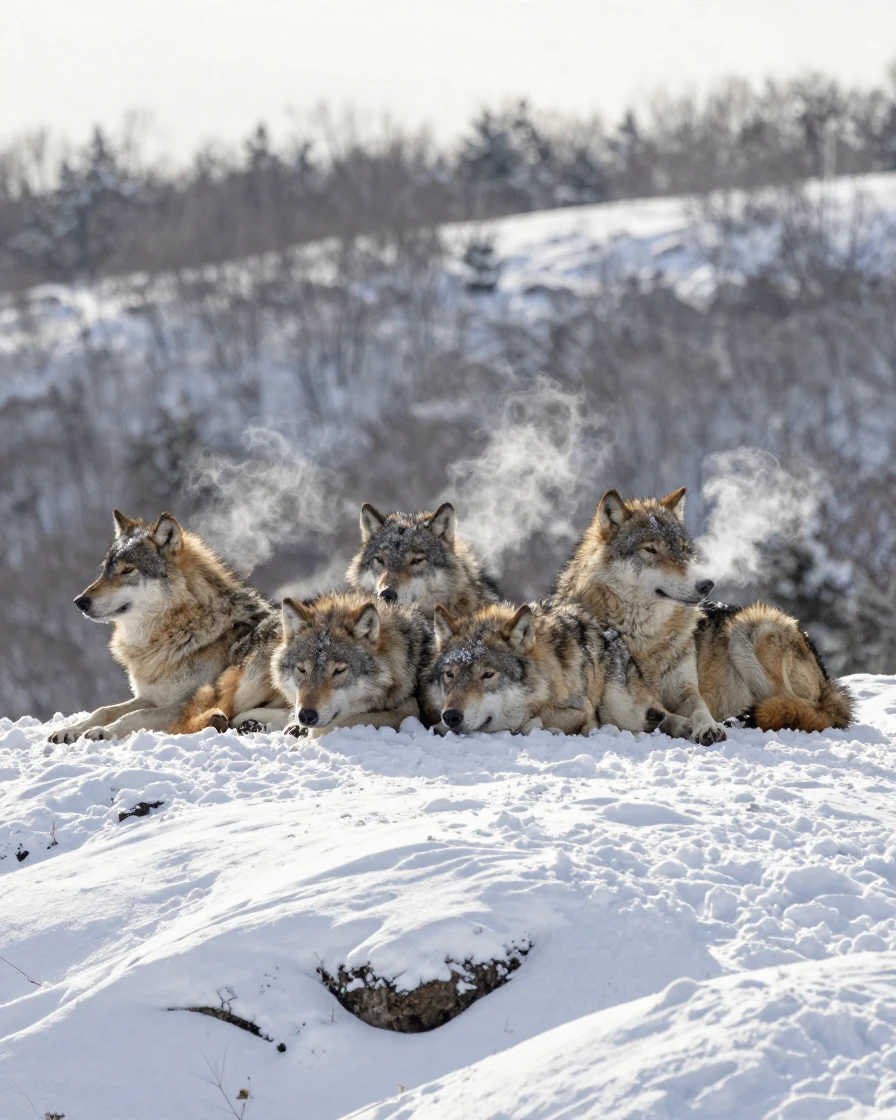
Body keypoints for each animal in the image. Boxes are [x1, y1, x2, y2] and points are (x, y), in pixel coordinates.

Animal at [48, 510, 273, 743]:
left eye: (128, 570)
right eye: (105, 571)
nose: (80, 602)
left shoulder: (188, 700)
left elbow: (136, 715)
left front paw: (103, 731)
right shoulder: (151, 696)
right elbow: (104, 710)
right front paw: (70, 730)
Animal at [173, 591, 430, 738]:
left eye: (338, 671)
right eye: (302, 669)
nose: (307, 715)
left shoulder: (411, 706)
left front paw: (301, 730)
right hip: (255, 684)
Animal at [426, 598, 667, 736]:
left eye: (488, 674)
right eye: (450, 674)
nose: (451, 716)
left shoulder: (583, 709)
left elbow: (530, 723)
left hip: (622, 708)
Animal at [555, 487, 852, 738]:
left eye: (684, 550)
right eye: (650, 549)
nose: (706, 584)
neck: (647, 636)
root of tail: (827, 681)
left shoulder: (686, 691)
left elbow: (700, 709)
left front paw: (707, 727)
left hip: (749, 627)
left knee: (798, 708)